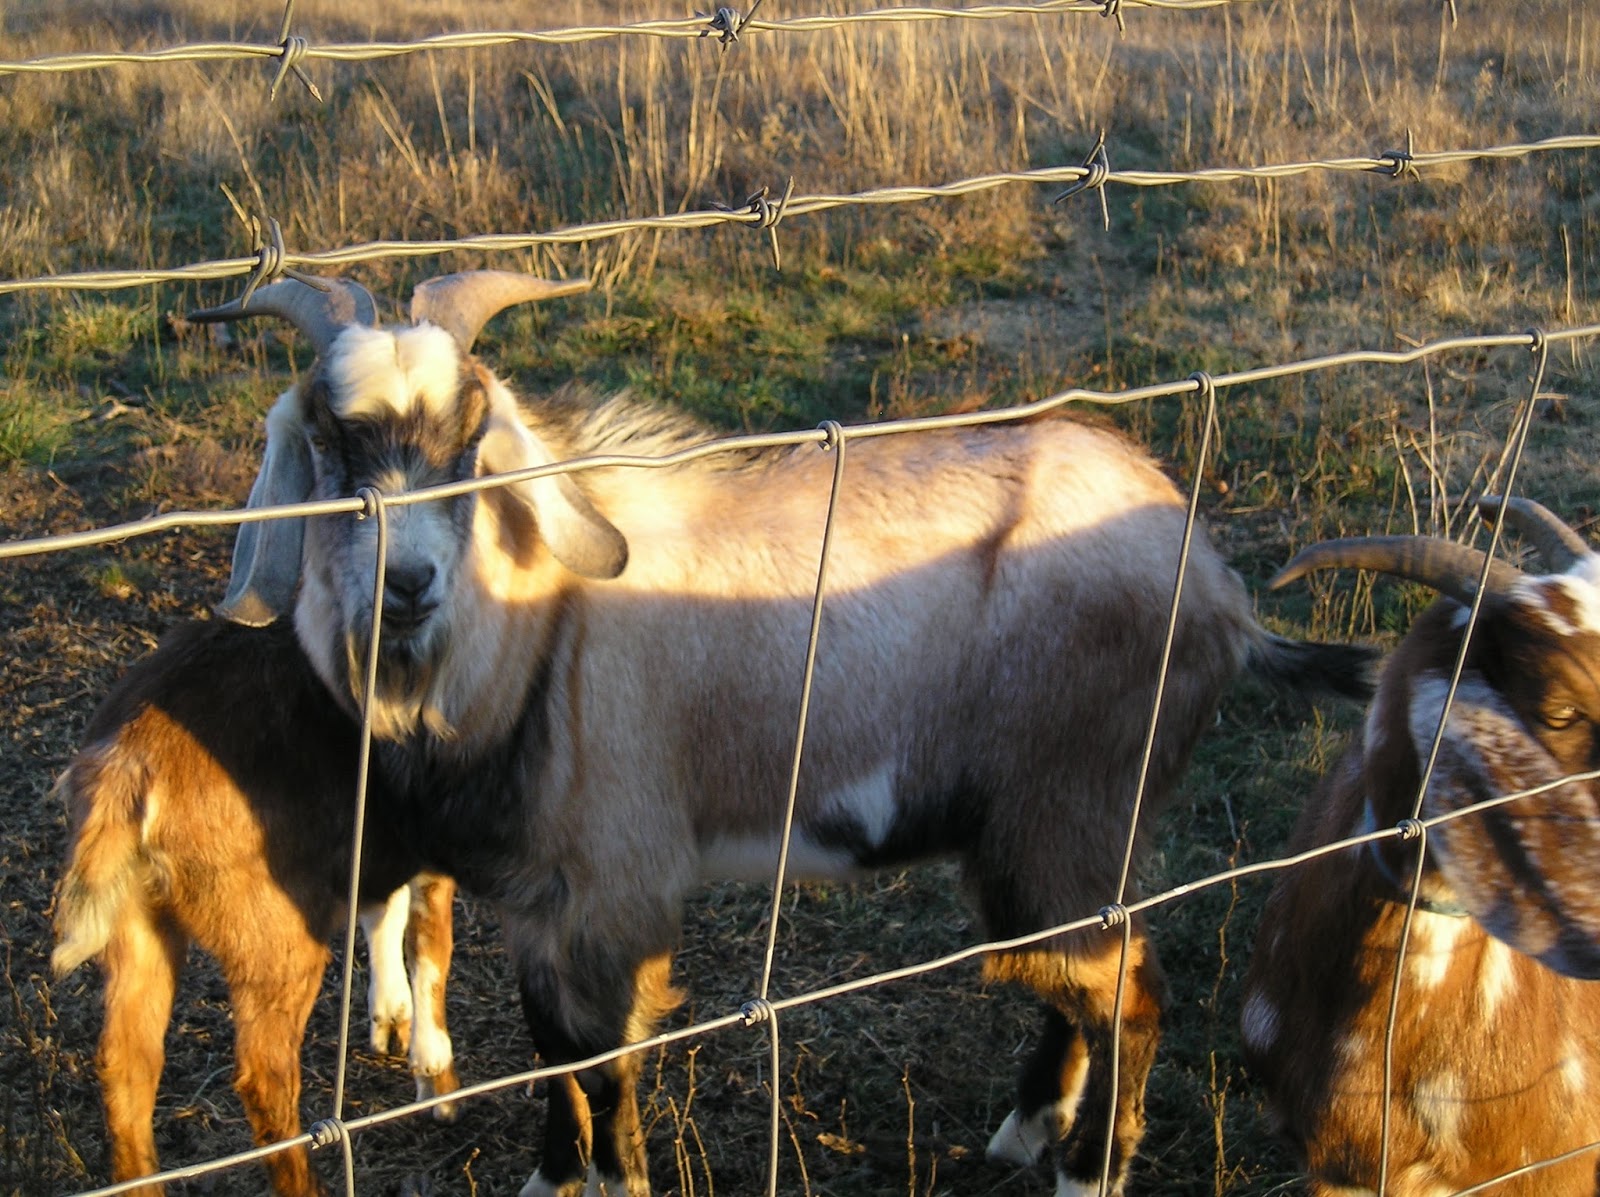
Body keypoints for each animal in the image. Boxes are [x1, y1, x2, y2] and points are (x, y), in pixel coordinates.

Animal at [52, 617, 462, 1197]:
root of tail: (124, 768)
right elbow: (431, 941)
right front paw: (438, 1082)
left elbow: (386, 908)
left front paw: (391, 1021)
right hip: (274, 934)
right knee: (263, 1076)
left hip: (136, 924)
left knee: (126, 1063)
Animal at [188, 270, 1374, 1197]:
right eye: (329, 441)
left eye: (473, 438)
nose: (410, 583)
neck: (541, 628)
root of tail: (1222, 595)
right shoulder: (540, 904)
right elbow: (548, 1049)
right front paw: (546, 1176)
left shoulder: (618, 889)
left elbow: (606, 1064)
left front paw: (613, 1180)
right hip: (1042, 843)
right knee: (1085, 979)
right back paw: (1025, 1129)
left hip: (1067, 816)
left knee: (1129, 990)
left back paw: (1086, 1172)